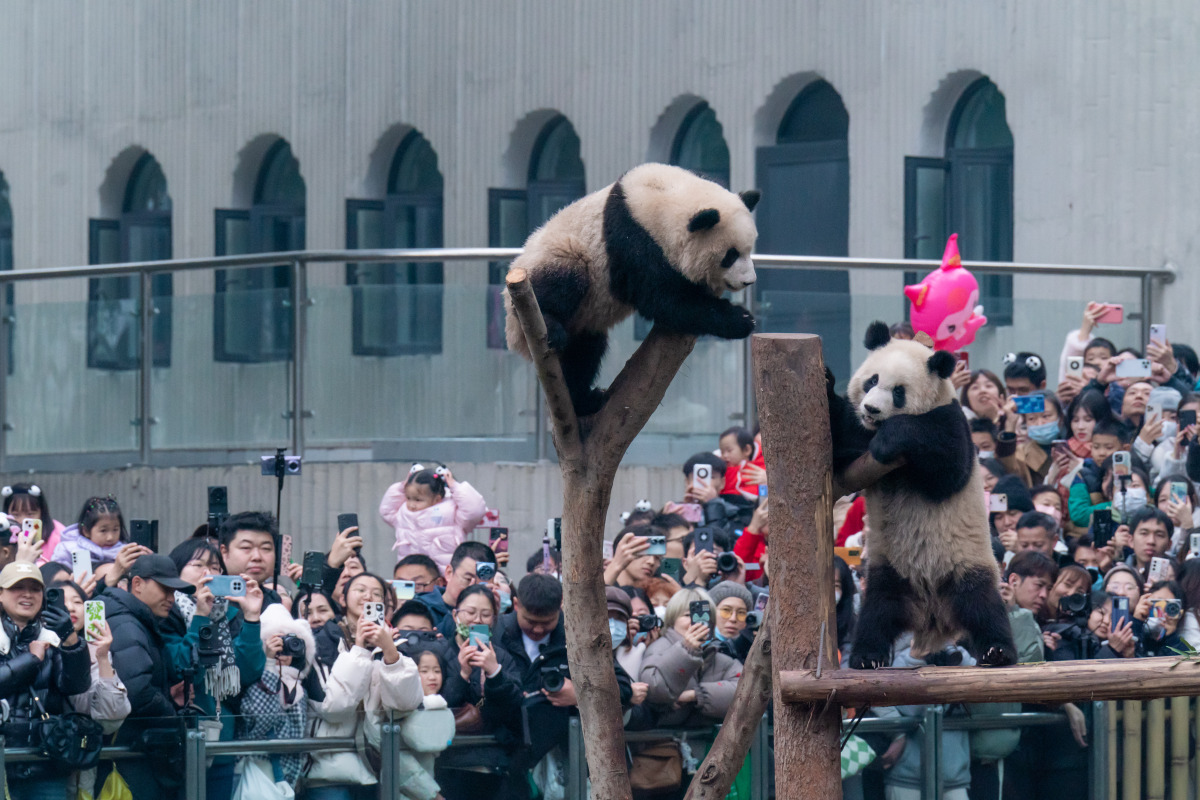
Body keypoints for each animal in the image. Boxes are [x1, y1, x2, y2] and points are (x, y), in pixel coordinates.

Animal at [504, 160, 758, 417]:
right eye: (730, 255)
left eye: (749, 249)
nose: (749, 281)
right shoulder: (631, 242)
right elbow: (663, 299)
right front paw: (741, 319)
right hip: (553, 260)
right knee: (563, 276)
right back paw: (550, 323)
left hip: (582, 321)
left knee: (584, 353)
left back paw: (584, 401)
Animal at [835, 321, 1012, 671]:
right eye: (872, 380)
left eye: (898, 392)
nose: (871, 409)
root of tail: (932, 617)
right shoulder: (857, 436)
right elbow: (842, 446)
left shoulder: (951, 421)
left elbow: (949, 467)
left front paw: (888, 441)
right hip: (886, 573)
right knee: (875, 615)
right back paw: (866, 657)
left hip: (968, 566)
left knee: (985, 607)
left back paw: (998, 651)